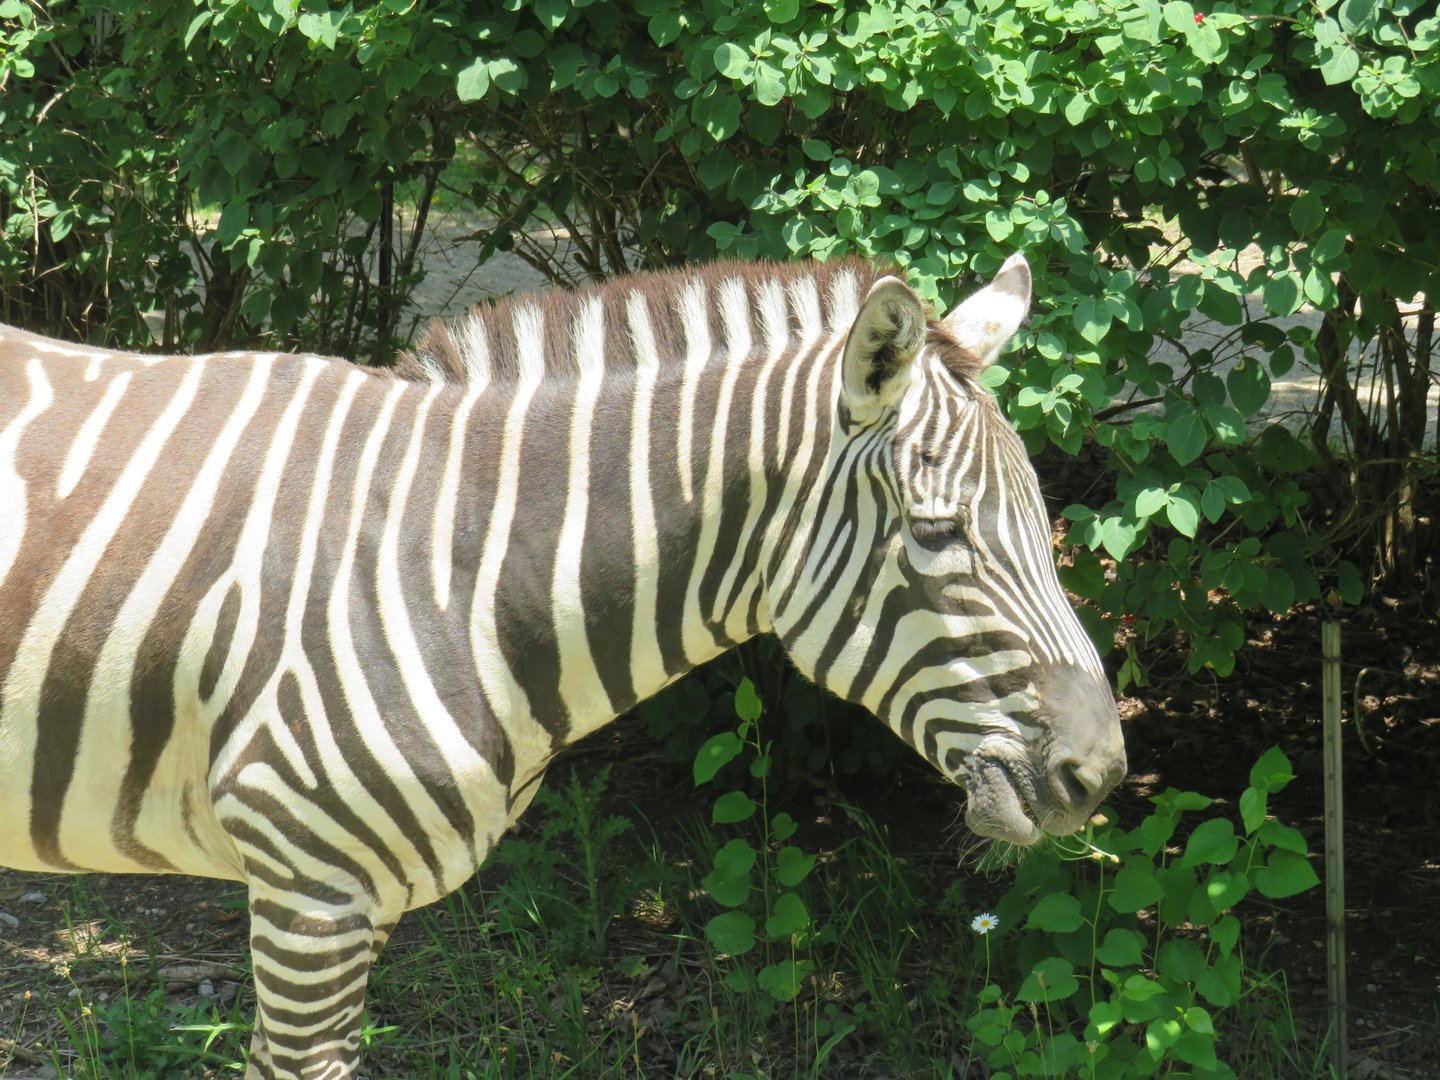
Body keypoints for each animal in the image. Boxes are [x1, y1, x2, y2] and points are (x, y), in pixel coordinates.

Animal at [0, 255, 1125, 1079]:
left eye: (1042, 522)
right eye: (939, 533)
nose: (1103, 776)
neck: (453, 564)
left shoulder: (354, 900)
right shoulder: (306, 885)